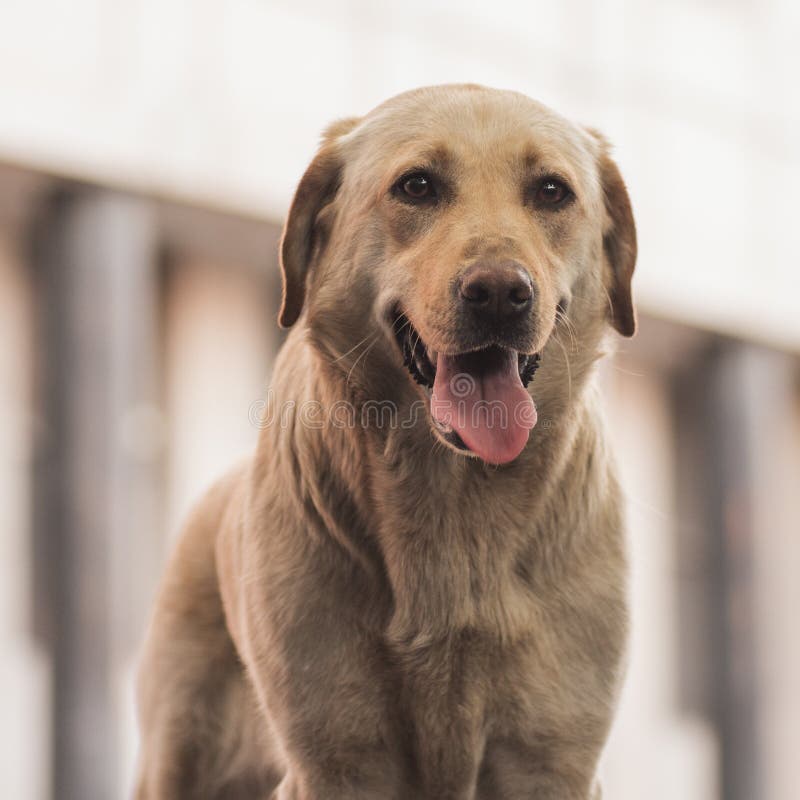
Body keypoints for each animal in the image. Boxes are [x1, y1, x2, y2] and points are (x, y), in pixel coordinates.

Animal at [136, 84, 636, 796]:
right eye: (417, 185)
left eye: (551, 191)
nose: (499, 293)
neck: (453, 498)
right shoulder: (338, 760)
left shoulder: (550, 760)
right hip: (178, 747)